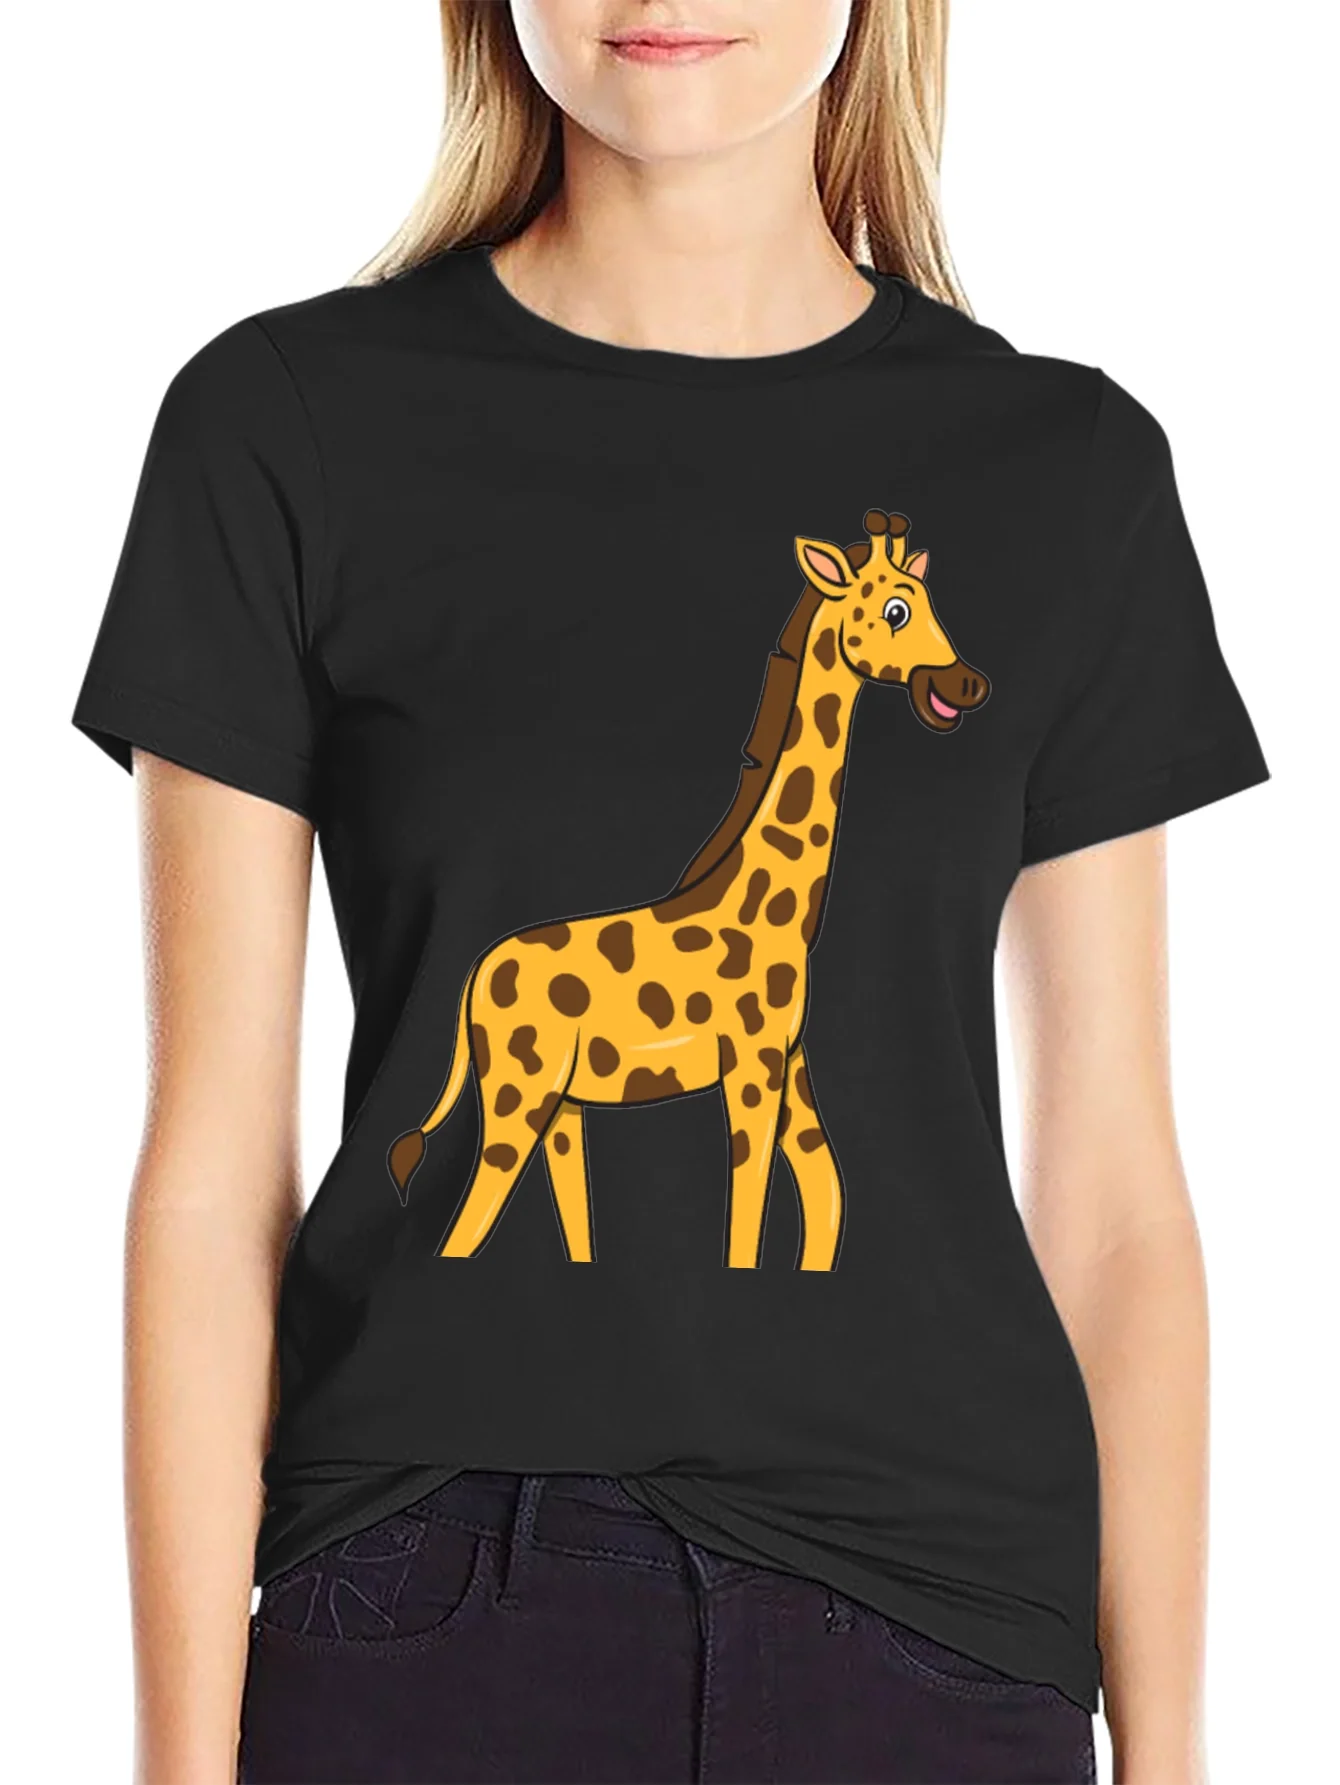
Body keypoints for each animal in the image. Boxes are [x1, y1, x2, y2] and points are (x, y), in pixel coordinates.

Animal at [390, 512, 988, 1270]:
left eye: (929, 601)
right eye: (895, 610)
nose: (967, 683)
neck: (781, 911)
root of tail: (473, 978)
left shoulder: (789, 1061)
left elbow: (824, 1190)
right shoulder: (752, 1064)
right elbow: (749, 1214)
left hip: (560, 1103)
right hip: (518, 1090)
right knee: (467, 1226)